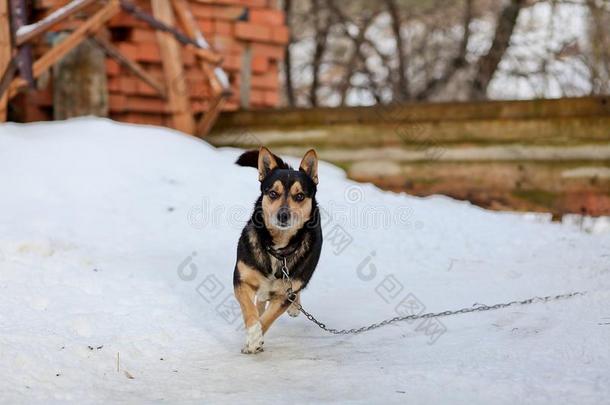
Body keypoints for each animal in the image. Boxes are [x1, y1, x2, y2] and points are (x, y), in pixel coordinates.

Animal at [230, 147, 324, 352]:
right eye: (273, 193)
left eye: (300, 196)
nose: (283, 215)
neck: (278, 250)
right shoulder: (242, 279)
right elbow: (250, 310)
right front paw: (253, 334)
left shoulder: (284, 295)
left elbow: (268, 318)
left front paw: (255, 340)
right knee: (259, 302)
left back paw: (295, 307)